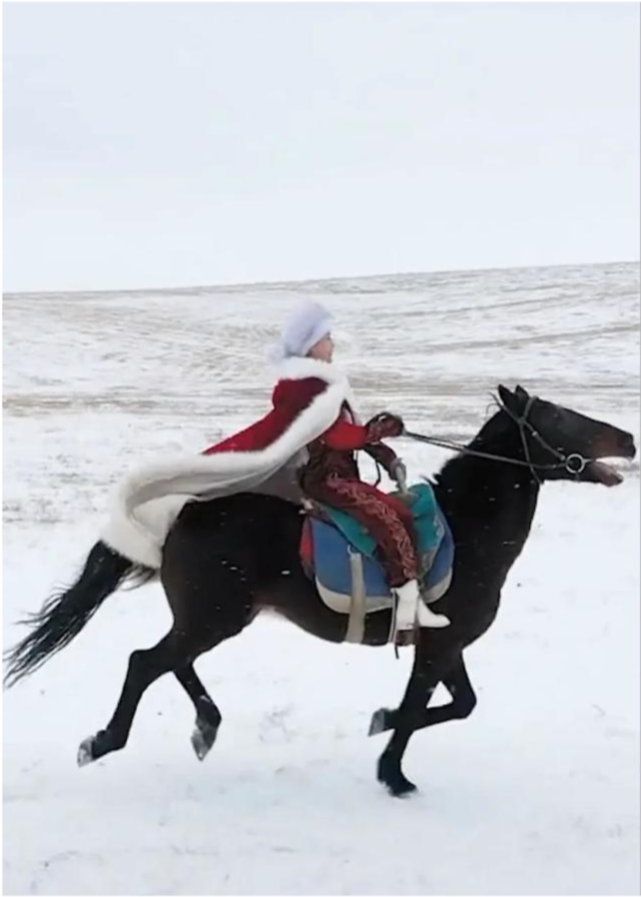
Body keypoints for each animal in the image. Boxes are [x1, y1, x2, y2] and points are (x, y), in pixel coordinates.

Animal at [3, 385, 636, 797]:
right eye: (560, 418)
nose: (628, 439)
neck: (466, 530)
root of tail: (180, 514)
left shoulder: (445, 644)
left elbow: (459, 704)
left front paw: (381, 725)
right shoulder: (439, 646)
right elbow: (420, 708)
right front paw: (393, 773)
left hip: (214, 618)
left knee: (170, 661)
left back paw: (205, 728)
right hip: (214, 616)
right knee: (144, 662)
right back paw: (102, 742)